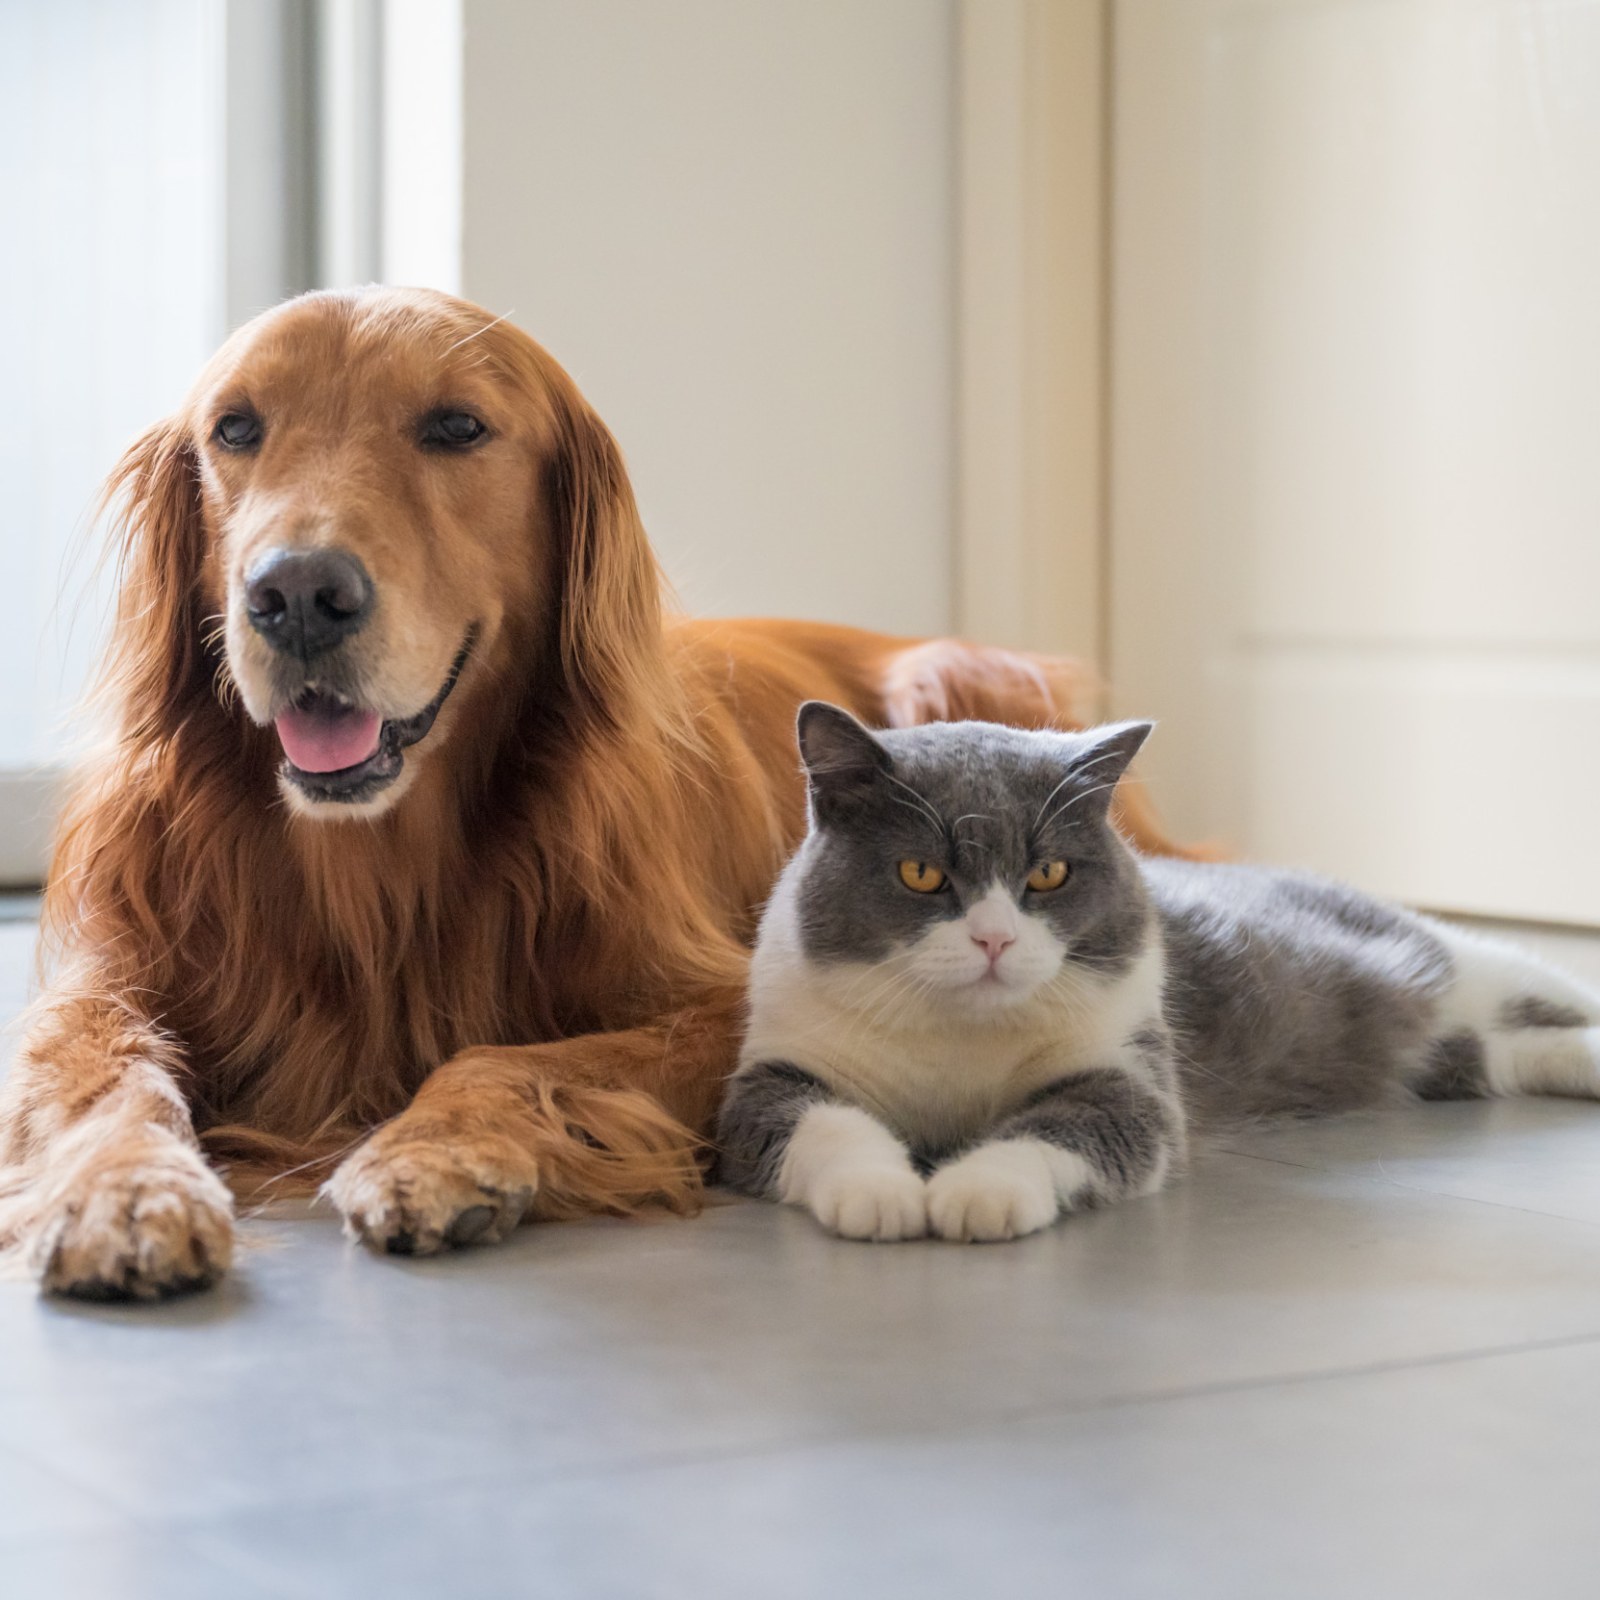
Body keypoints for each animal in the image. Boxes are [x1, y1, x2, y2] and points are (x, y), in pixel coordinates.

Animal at [720, 707, 1600, 1241]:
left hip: (1449, 958)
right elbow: (819, 1124)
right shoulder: (773, 1073)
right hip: (1452, 1054)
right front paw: (886, 1196)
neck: (958, 1041)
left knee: (1537, 984)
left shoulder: (1129, 1075)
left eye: (1048, 874)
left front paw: (977, 1194)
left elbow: (1062, 1128)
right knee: (1503, 1054)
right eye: (921, 874)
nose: (995, 940)